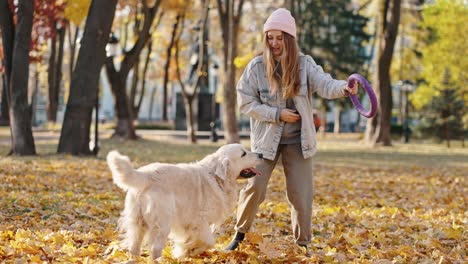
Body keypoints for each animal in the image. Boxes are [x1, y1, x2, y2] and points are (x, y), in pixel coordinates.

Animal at [107, 143, 264, 258]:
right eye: (243, 154)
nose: (261, 154)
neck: (216, 177)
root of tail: (145, 175)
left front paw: (184, 252)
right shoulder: (199, 221)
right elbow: (209, 242)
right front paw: (190, 250)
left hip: (138, 224)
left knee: (134, 247)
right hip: (162, 224)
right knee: (155, 248)